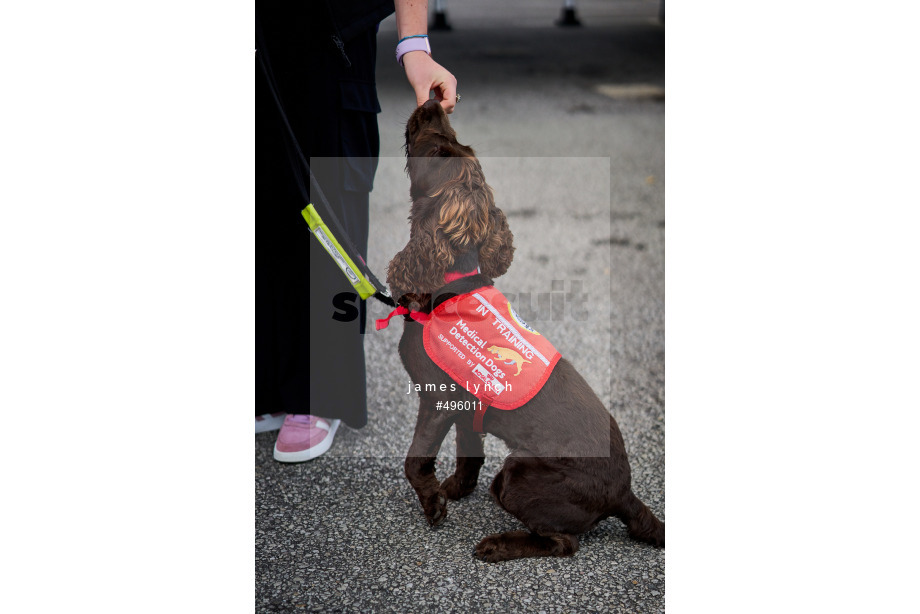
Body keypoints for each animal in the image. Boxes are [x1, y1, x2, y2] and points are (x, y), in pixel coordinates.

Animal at [384, 100, 664, 564]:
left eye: (441, 150)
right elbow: (469, 454)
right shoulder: (467, 404)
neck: (450, 283)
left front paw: (433, 504)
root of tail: (624, 494)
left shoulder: (437, 401)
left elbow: (414, 461)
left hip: (519, 473)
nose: (432, 102)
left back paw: (497, 545)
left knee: (564, 542)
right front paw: (454, 491)